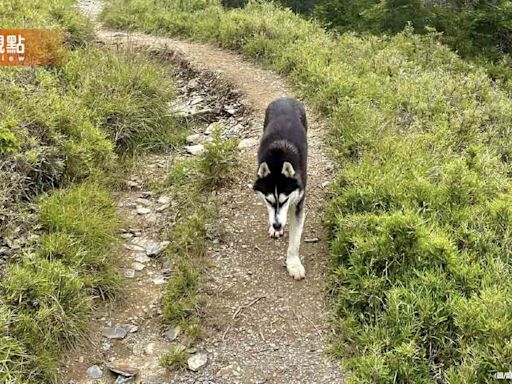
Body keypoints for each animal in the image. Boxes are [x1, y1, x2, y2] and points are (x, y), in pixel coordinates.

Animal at [253, 97, 308, 280]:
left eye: (284, 201)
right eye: (269, 201)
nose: (277, 226)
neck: (278, 160)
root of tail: (285, 98)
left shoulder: (298, 203)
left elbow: (294, 241)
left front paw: (293, 264)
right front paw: (273, 227)